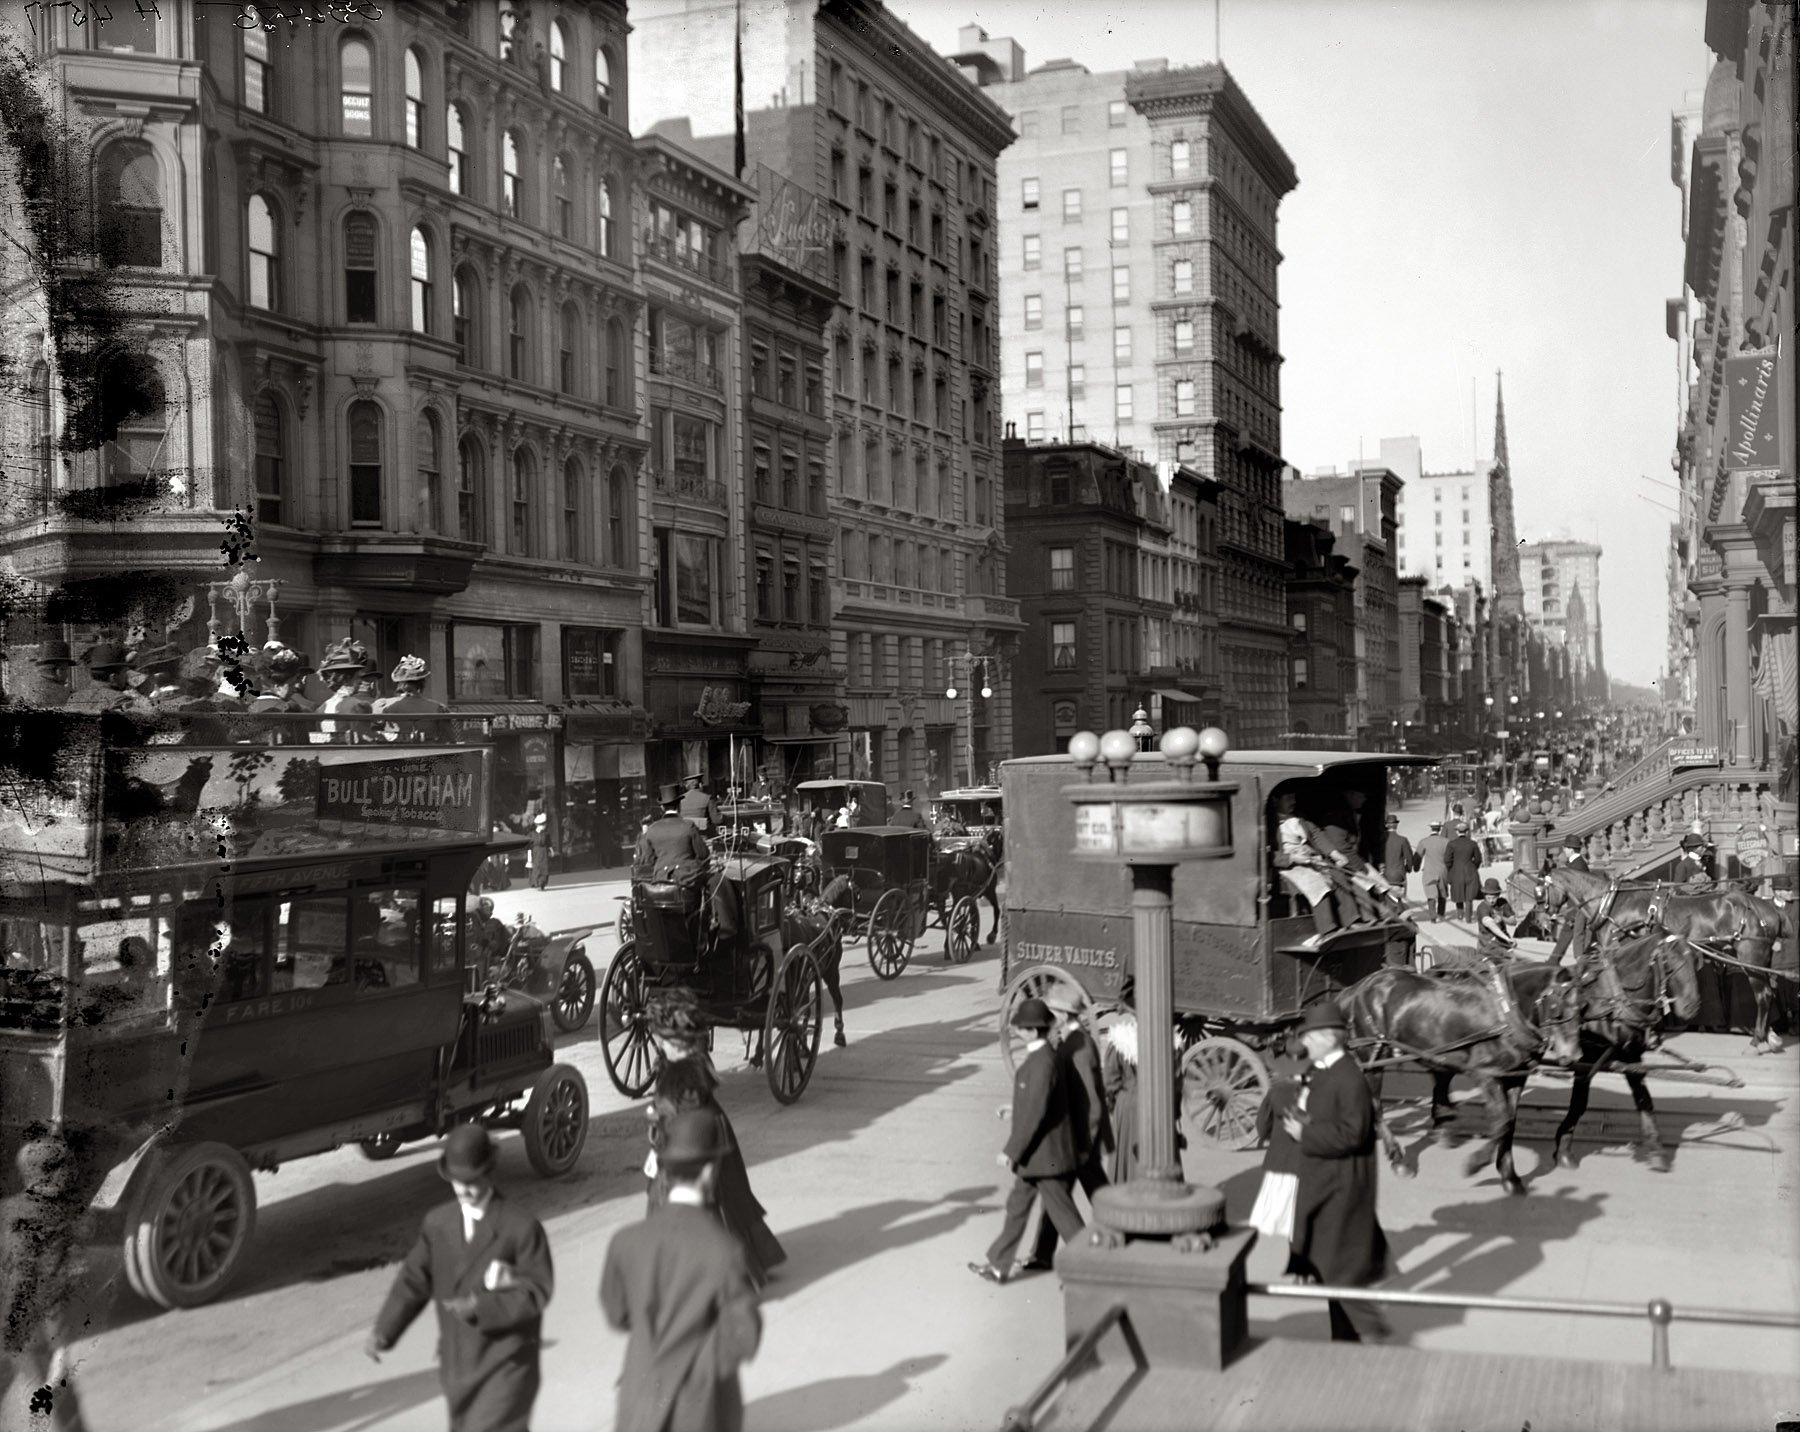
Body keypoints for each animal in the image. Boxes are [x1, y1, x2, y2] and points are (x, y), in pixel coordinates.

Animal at [1339, 964, 1576, 1194]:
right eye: (1557, 1005)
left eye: (1580, 1007)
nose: (1573, 1056)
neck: (1504, 1012)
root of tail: (1361, 986)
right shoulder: (1487, 1075)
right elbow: (1502, 1122)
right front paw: (1475, 1164)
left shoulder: (1515, 1078)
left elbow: (1510, 1124)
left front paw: (1510, 1177)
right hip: (1372, 1054)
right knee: (1376, 1106)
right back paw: (1398, 1160)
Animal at [1540, 859, 1792, 1050]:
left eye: (1541, 889)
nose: (1543, 918)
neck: (1611, 903)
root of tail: (1768, 907)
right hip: (1762, 958)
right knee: (1771, 991)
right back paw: (1768, 1035)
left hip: (1751, 957)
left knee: (1763, 995)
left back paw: (1757, 1040)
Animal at [1548, 928, 1699, 1172]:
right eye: (1668, 961)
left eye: (1696, 960)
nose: (1692, 1007)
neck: (1612, 996)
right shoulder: (1588, 1056)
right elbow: (1579, 1103)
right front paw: (1563, 1150)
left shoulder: (1631, 1053)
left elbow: (1644, 1100)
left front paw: (1656, 1151)